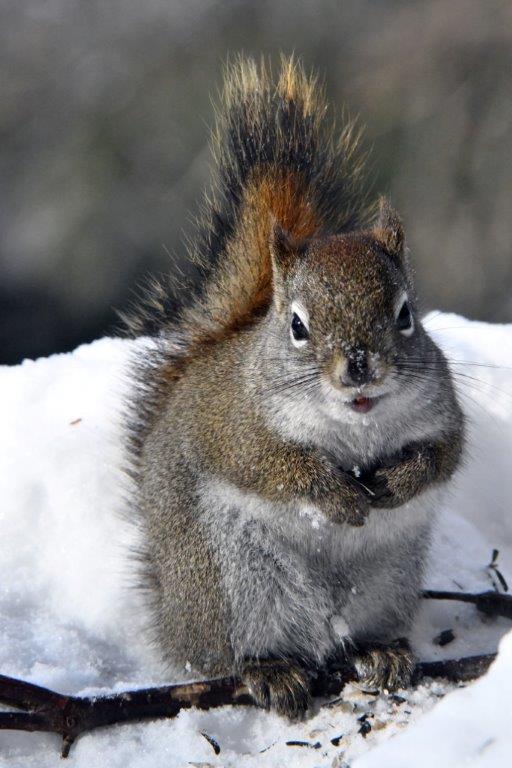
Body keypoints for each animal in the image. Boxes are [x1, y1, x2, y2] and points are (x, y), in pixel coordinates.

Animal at [125, 56, 464, 717]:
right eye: (298, 327)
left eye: (406, 314)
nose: (358, 365)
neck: (356, 426)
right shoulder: (235, 426)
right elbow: (270, 466)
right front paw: (334, 494)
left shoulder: (444, 411)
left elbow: (444, 455)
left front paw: (400, 480)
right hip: (235, 582)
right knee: (236, 651)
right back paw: (271, 670)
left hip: (388, 580)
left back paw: (381, 652)